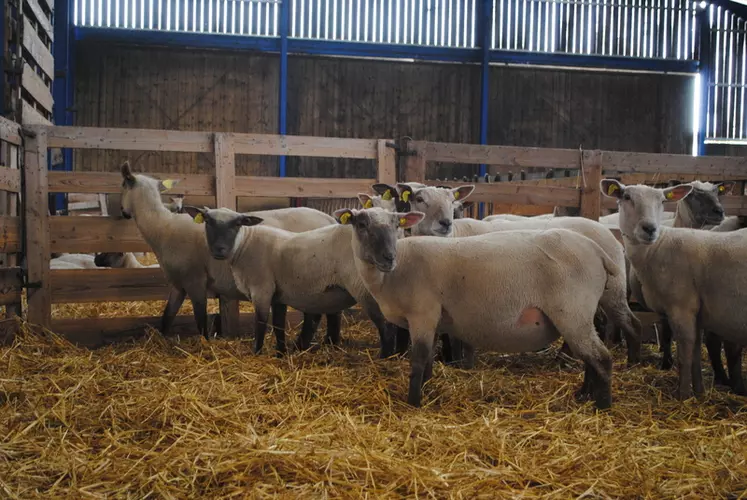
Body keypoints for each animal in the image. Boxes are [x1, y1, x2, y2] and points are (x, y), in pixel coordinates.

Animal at [119, 161, 336, 348]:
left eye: (122, 185)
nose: (123, 212)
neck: (162, 227)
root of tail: (330, 219)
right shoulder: (178, 284)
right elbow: (167, 316)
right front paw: (160, 338)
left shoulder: (195, 280)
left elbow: (200, 318)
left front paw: (206, 344)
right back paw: (324, 343)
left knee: (316, 314)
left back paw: (309, 343)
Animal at [183, 205, 400, 358]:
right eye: (208, 222)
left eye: (237, 224)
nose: (219, 250)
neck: (244, 245)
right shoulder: (278, 295)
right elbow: (279, 325)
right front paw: (280, 353)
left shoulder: (261, 290)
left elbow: (260, 323)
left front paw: (257, 352)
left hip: (365, 290)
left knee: (385, 326)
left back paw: (386, 357)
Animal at [338, 207, 620, 410]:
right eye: (361, 225)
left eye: (397, 225)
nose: (388, 258)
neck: (393, 275)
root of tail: (597, 250)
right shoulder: (433, 320)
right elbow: (428, 360)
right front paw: (427, 390)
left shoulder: (423, 314)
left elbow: (417, 360)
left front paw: (413, 403)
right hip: (581, 315)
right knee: (590, 357)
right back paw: (584, 395)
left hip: (573, 312)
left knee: (601, 358)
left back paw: (602, 406)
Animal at [600, 180, 747, 398]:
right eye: (626, 197)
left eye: (662, 201)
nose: (649, 229)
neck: (658, 246)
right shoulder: (695, 313)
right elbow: (695, 352)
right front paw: (699, 393)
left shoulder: (682, 308)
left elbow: (685, 353)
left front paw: (683, 394)